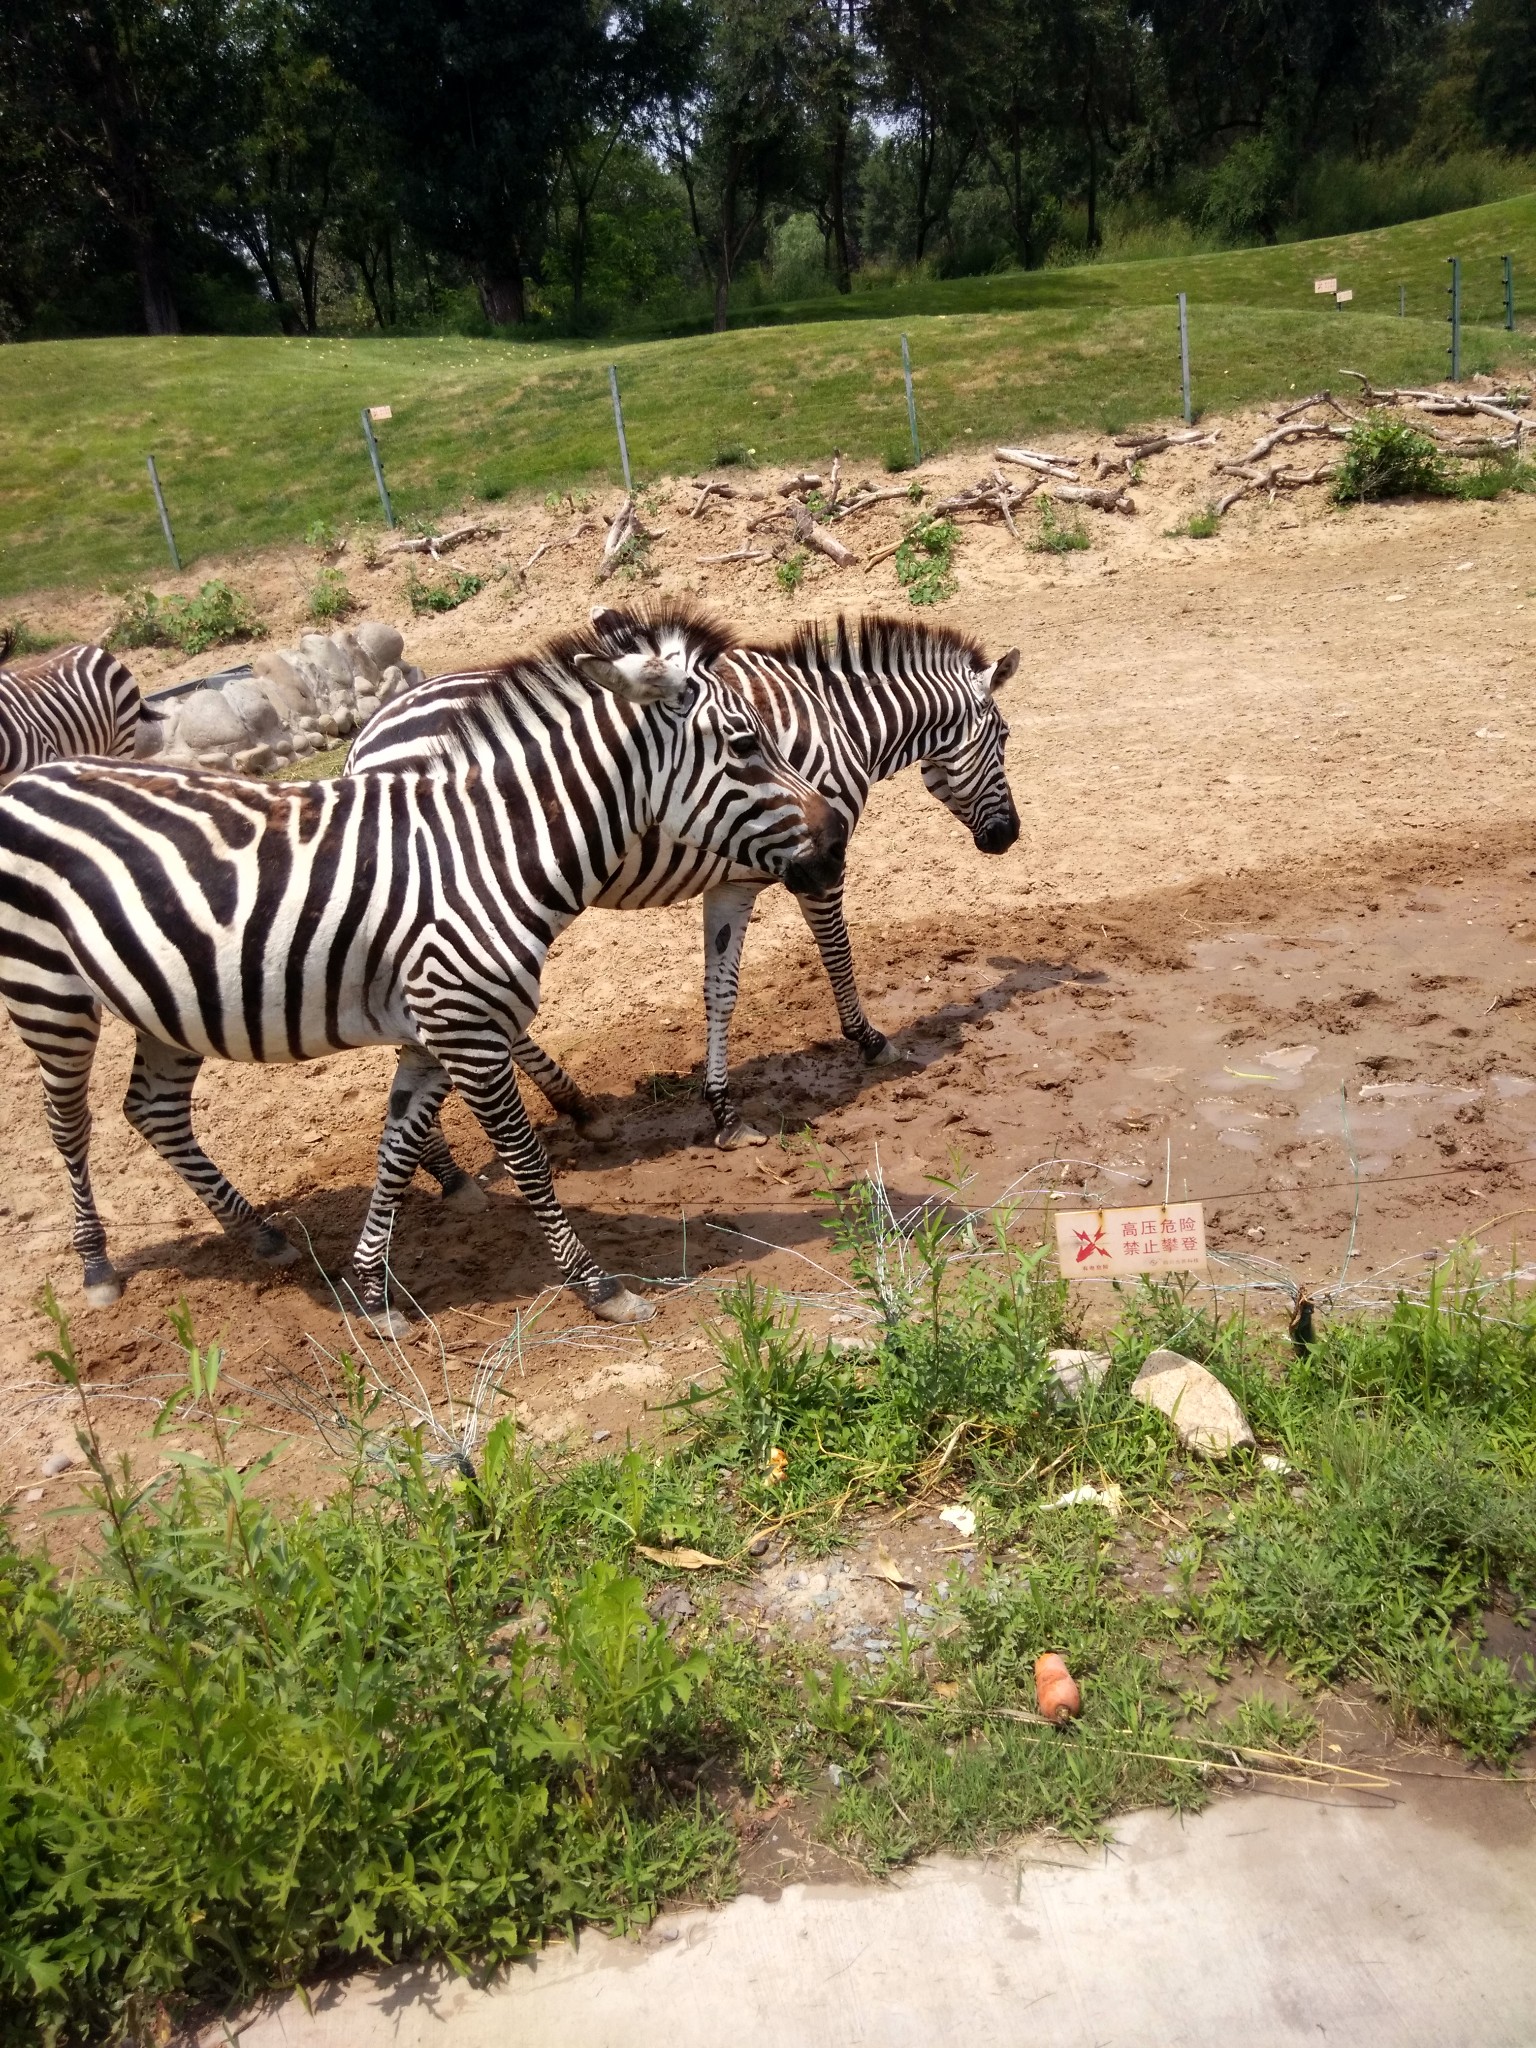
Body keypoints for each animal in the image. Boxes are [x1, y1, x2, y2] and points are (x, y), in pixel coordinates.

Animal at [350, 602, 1024, 1171]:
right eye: (1006, 737)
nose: (1009, 837)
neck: (841, 725)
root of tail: (366, 736)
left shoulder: (737, 880)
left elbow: (718, 991)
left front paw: (722, 1112)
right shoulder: (810, 867)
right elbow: (836, 953)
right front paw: (869, 1041)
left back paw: (538, 1125)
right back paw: (456, 1163)